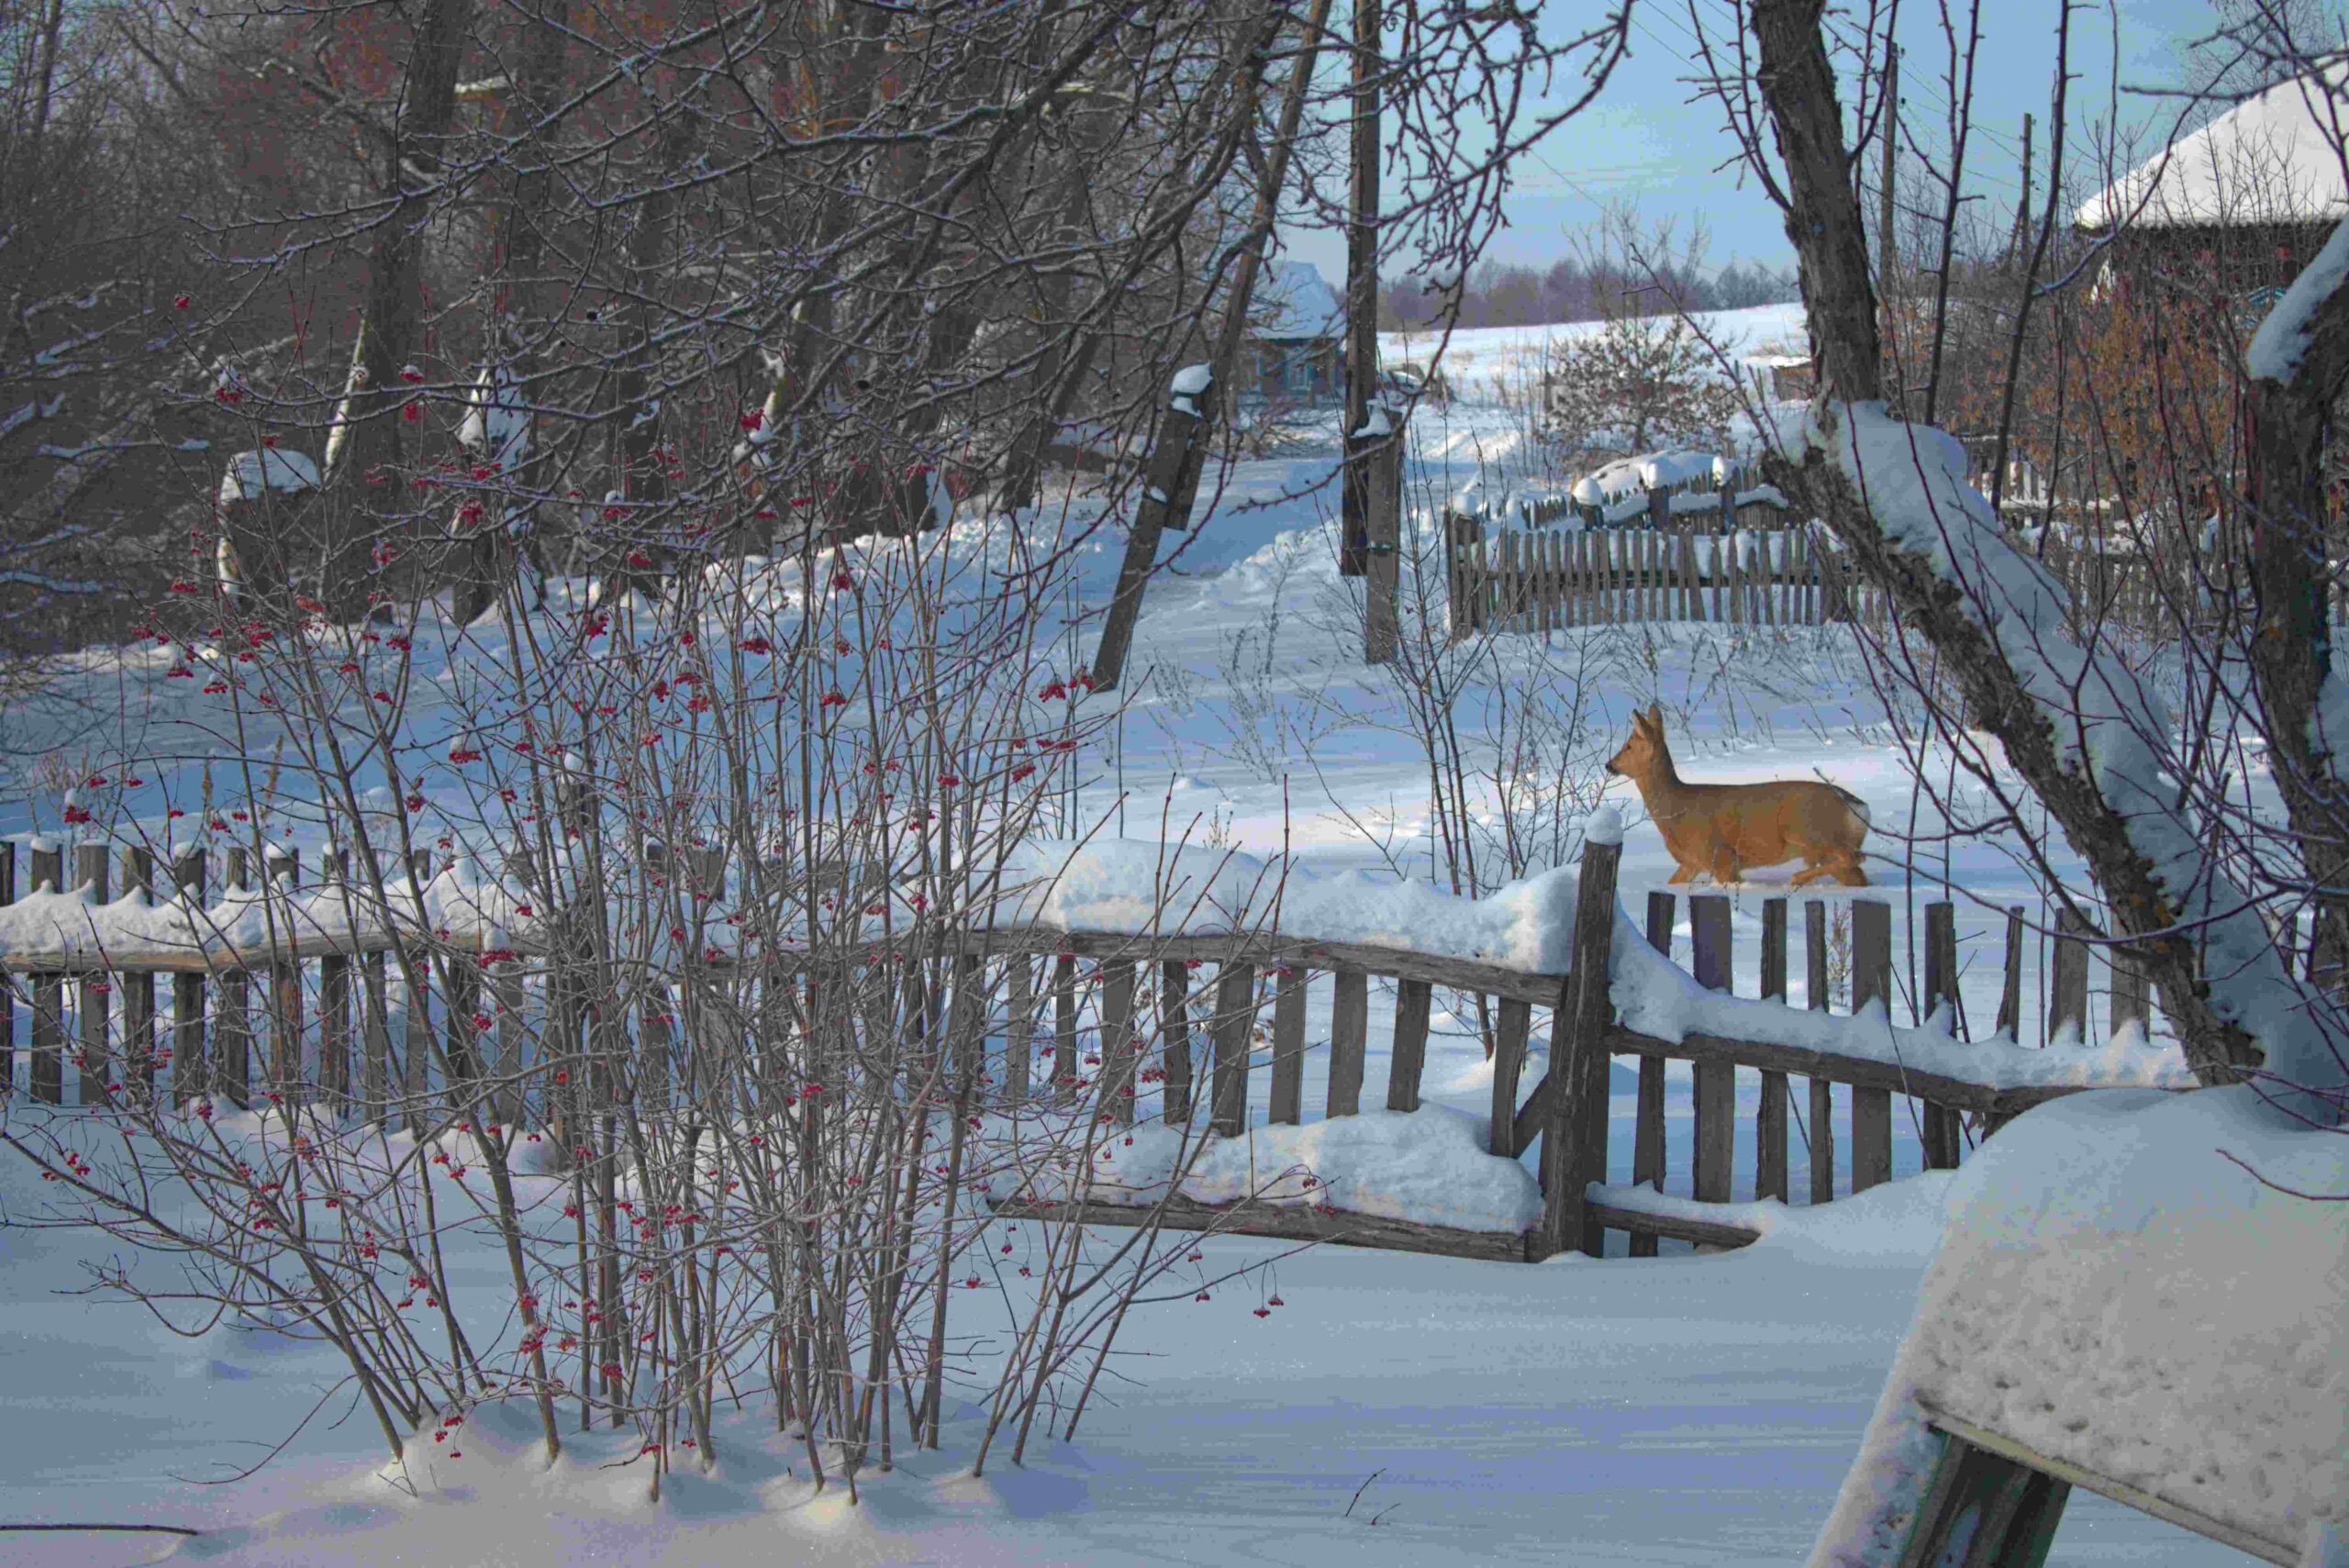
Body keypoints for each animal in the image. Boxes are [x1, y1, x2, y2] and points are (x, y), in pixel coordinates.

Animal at [1605, 704, 1871, 887]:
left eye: (1628, 745)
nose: (1609, 765)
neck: (1677, 809)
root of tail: (1858, 807)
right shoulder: (1691, 863)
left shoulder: (1721, 856)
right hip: (1824, 846)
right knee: (1857, 876)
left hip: (1810, 829)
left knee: (1855, 857)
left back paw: (1796, 878)